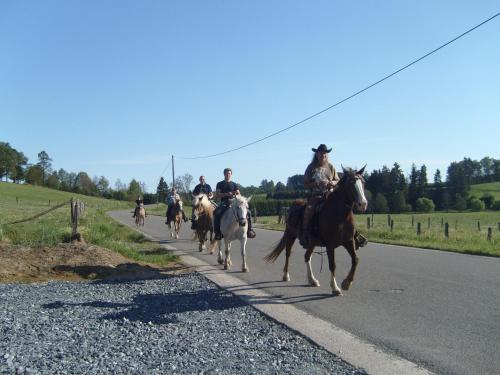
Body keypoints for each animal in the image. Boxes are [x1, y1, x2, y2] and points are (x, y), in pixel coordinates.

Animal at [266, 167, 368, 296]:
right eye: (350, 183)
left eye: (363, 182)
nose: (363, 204)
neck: (340, 216)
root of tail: (294, 204)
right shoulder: (330, 245)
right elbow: (332, 265)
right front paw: (335, 287)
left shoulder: (348, 241)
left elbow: (355, 260)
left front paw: (346, 283)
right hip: (290, 235)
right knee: (288, 253)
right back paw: (286, 275)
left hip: (312, 242)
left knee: (307, 256)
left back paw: (312, 280)